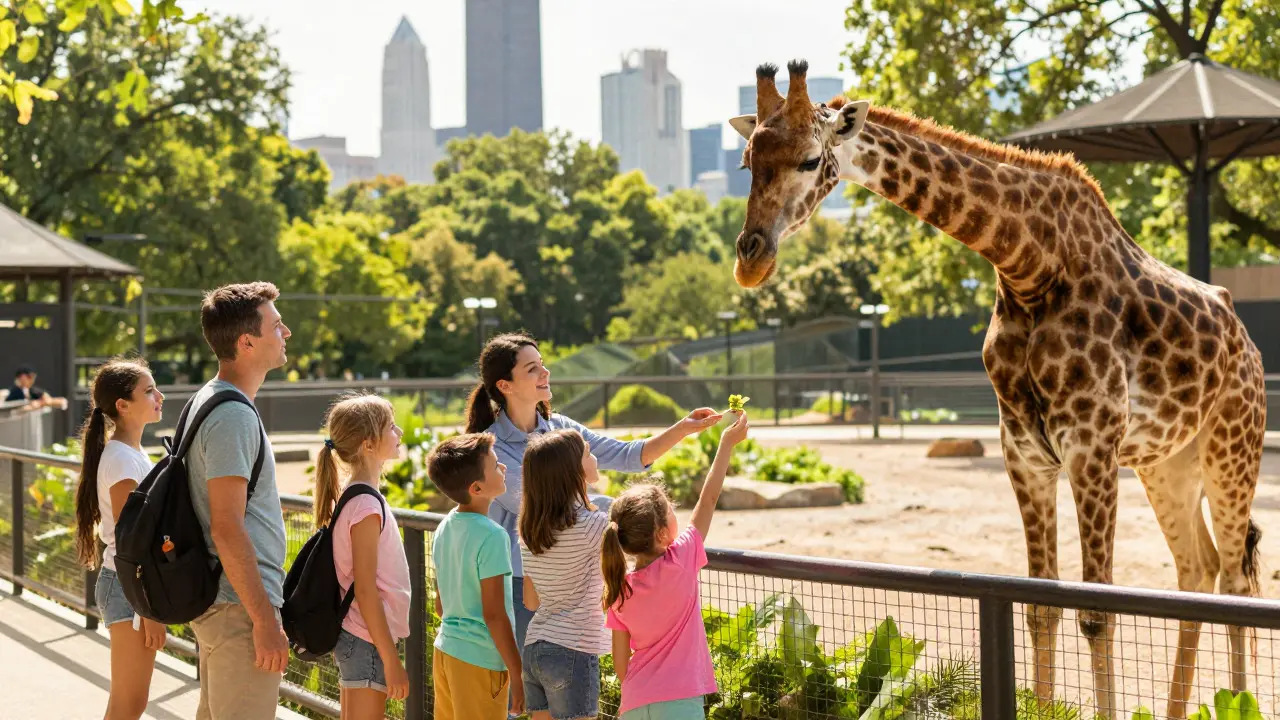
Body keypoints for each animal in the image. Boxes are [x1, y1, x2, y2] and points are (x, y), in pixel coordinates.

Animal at [728, 60, 1267, 719]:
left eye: (810, 160)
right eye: (748, 162)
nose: (751, 260)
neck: (1029, 267)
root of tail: (1247, 342)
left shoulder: (1091, 447)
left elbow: (1098, 612)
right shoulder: (1025, 453)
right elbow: (1039, 606)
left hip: (1231, 448)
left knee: (1235, 584)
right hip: (1167, 460)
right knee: (1197, 570)